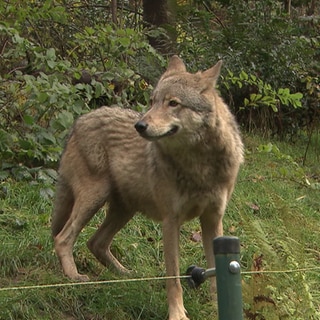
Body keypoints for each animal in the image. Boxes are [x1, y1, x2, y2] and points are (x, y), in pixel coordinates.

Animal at [52, 56, 242, 318]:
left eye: (173, 103)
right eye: (152, 101)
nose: (139, 125)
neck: (199, 165)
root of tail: (79, 120)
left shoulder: (213, 219)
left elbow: (216, 272)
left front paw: (217, 306)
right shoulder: (170, 221)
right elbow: (173, 278)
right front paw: (177, 314)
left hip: (124, 210)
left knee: (95, 242)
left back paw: (123, 274)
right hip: (95, 199)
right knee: (63, 238)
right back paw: (74, 276)